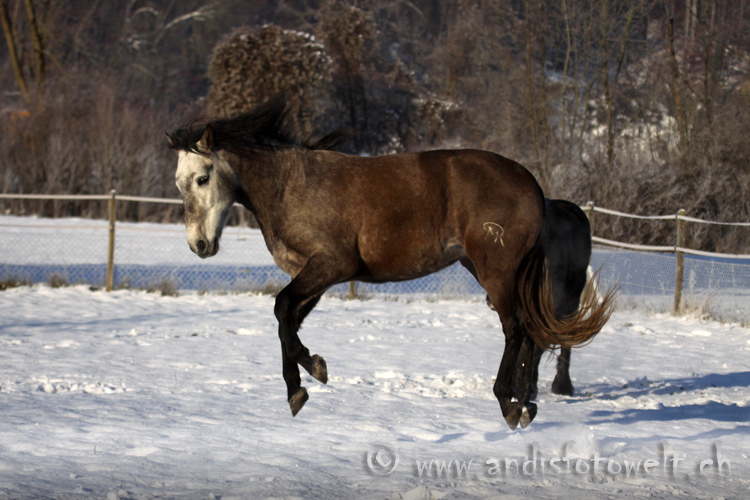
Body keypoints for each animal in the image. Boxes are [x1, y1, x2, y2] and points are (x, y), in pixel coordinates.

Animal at [166, 98, 616, 430]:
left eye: (203, 178)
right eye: (179, 183)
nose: (199, 245)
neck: (293, 185)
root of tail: (534, 187)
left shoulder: (329, 265)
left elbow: (282, 310)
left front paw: (312, 373)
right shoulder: (312, 276)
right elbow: (287, 320)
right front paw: (303, 383)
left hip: (498, 273)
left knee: (517, 329)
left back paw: (509, 402)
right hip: (491, 271)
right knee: (531, 334)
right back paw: (528, 406)